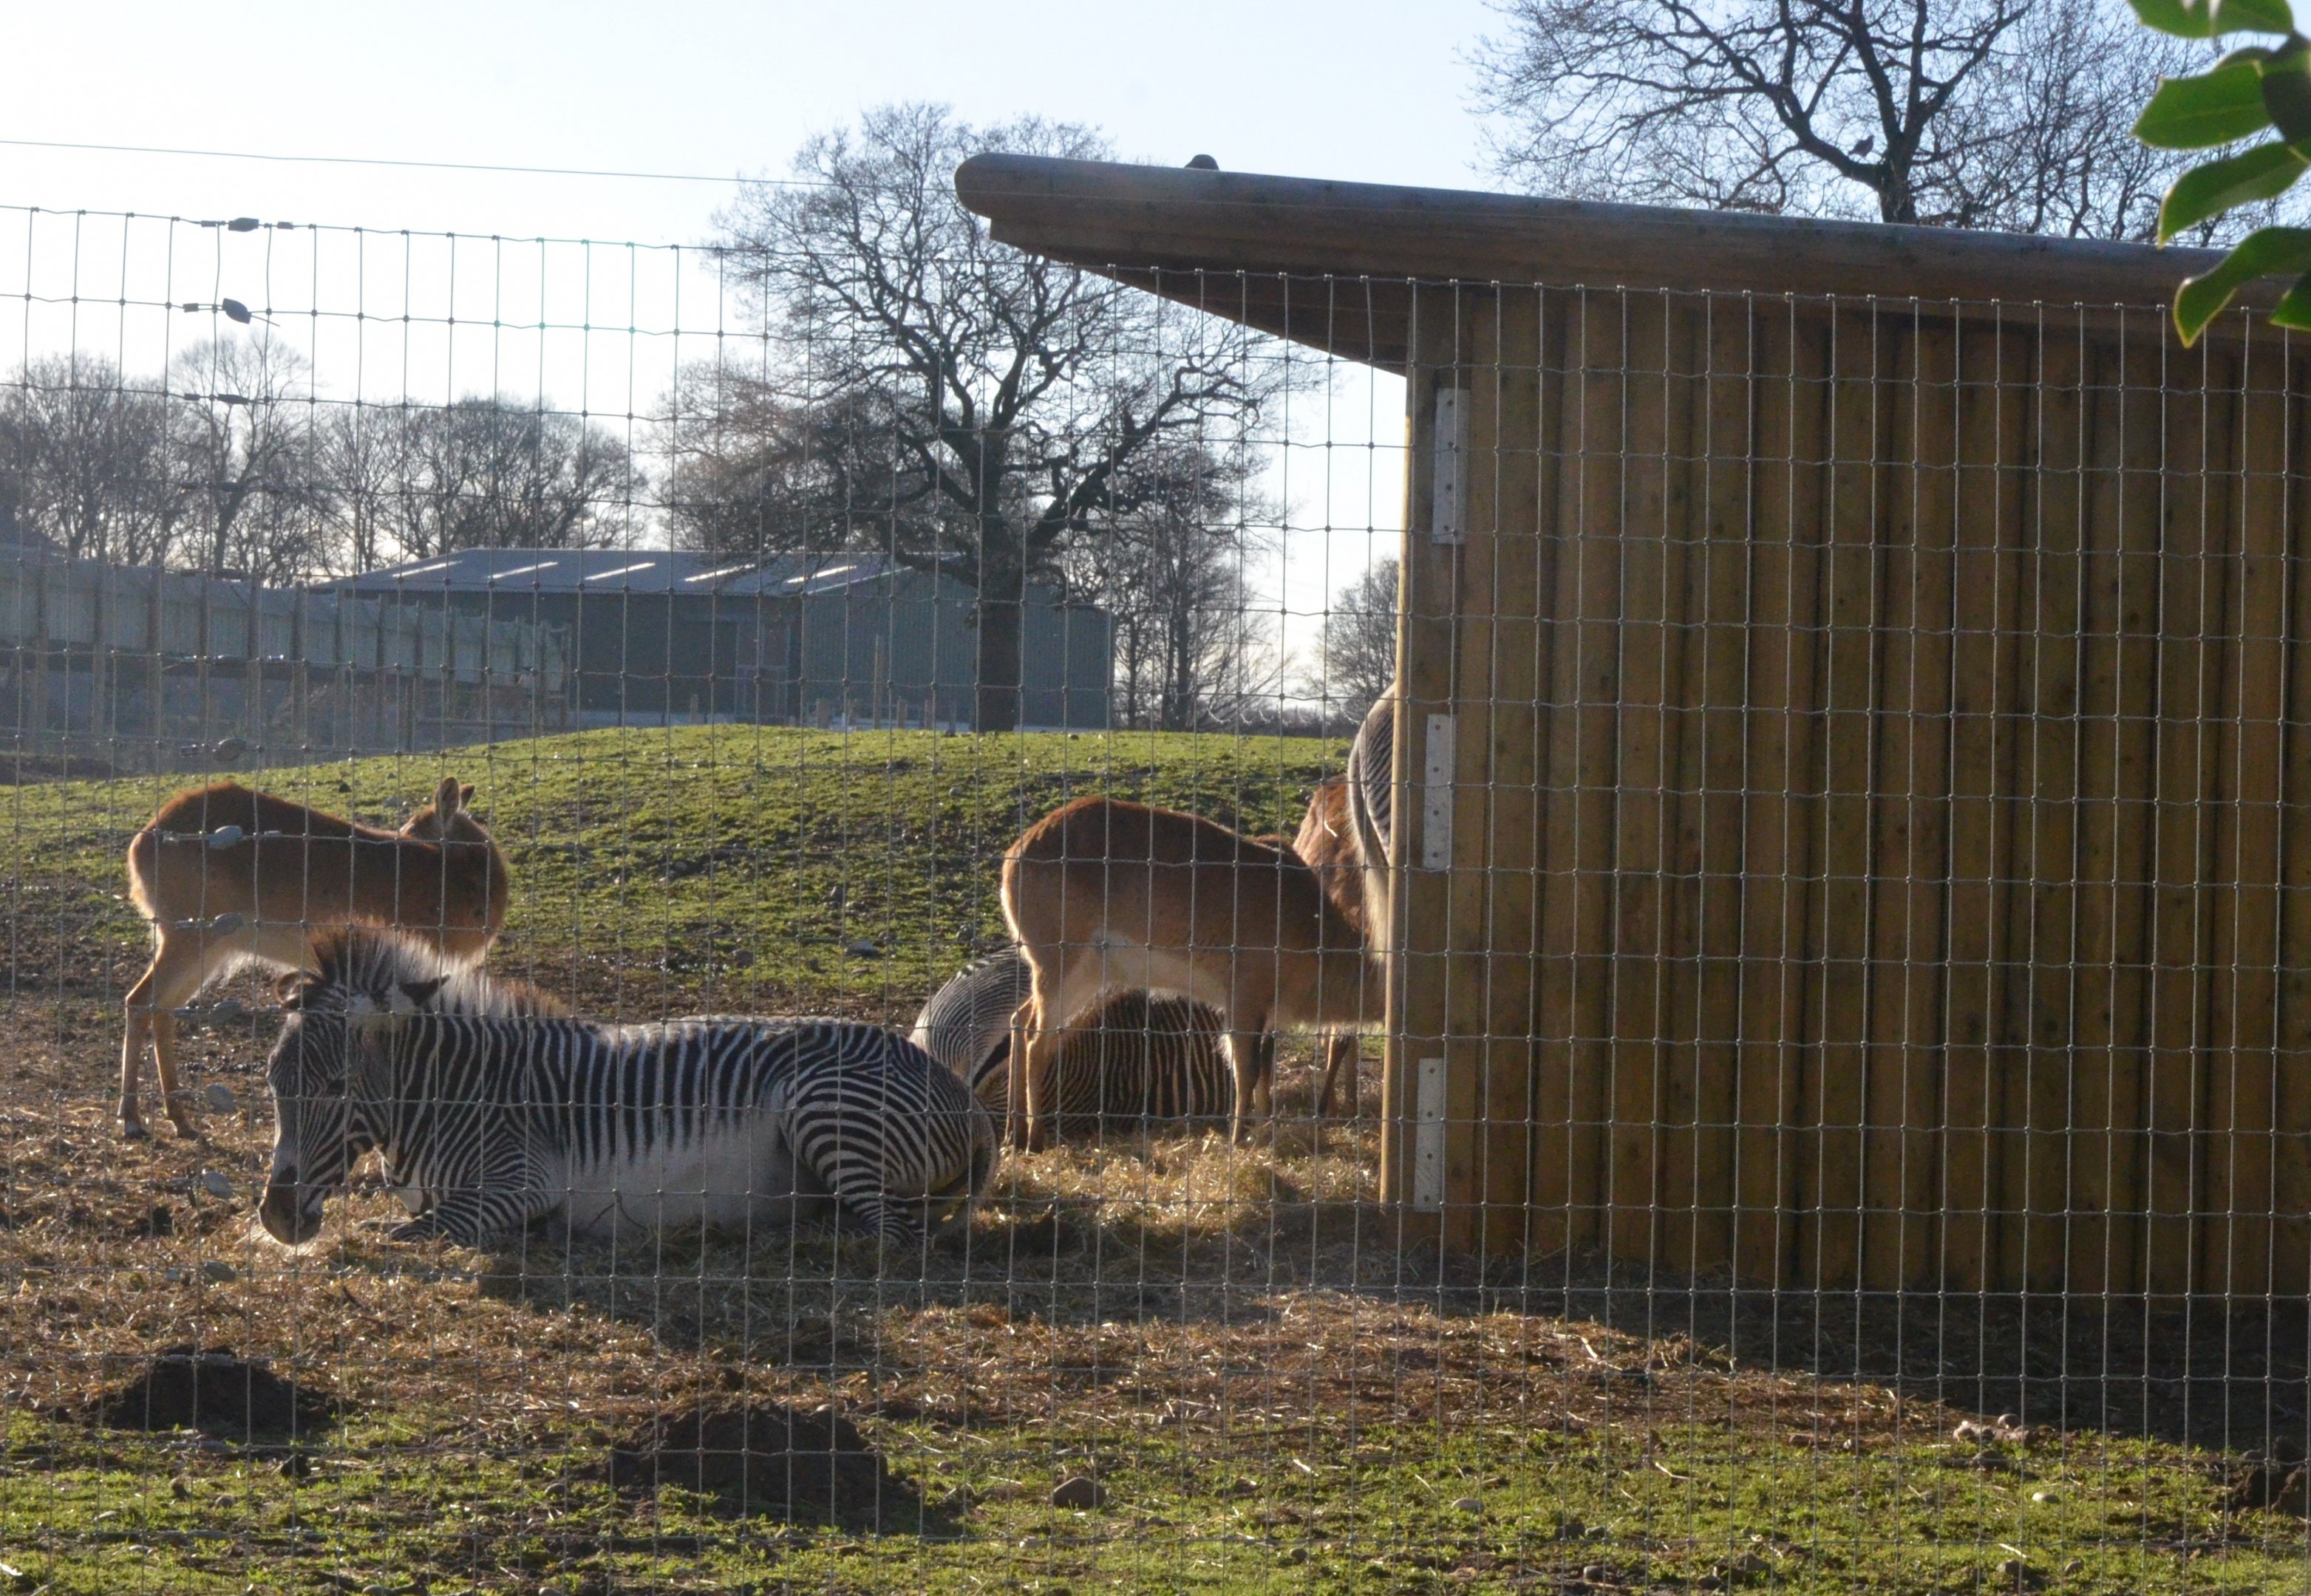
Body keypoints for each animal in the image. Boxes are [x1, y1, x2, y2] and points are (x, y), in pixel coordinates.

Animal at [256, 929, 995, 1250]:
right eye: (272, 1084)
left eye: (335, 1087)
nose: (277, 1219)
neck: (451, 1096)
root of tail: (960, 1093)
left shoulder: (524, 1180)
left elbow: (406, 1236)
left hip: (827, 1107)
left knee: (895, 1232)